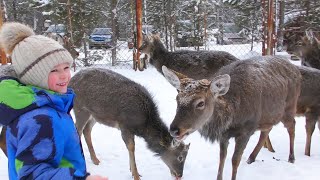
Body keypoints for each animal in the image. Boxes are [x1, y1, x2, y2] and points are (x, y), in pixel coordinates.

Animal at [164, 56, 302, 180]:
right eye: (177, 99)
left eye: (200, 103)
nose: (174, 130)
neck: (232, 117)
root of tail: (296, 70)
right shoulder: (224, 135)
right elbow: (222, 157)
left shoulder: (246, 130)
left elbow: (235, 160)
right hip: (267, 116)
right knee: (267, 129)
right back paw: (251, 158)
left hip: (289, 107)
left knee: (292, 126)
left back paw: (291, 158)